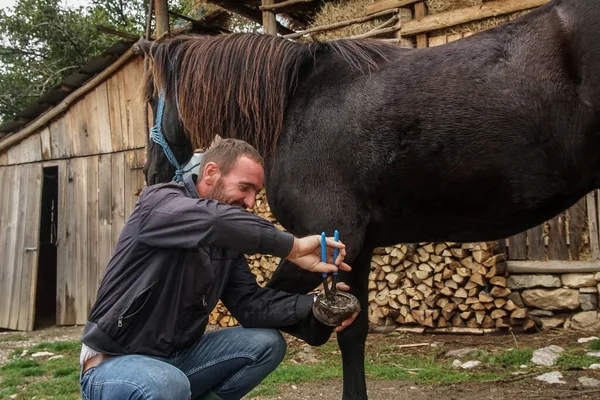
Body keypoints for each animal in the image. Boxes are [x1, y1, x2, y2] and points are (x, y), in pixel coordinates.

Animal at [138, 0, 600, 396]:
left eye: (150, 99)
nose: (152, 176)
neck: (295, 106)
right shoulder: (353, 249)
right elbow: (353, 335)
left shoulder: (326, 237)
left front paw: (317, 323)